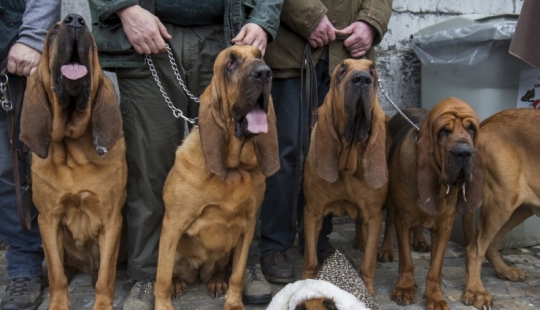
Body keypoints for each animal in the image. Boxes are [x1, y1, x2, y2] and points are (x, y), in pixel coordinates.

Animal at [304, 58, 388, 296]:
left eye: (373, 70)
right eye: (341, 70)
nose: (362, 80)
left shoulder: (374, 215)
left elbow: (368, 263)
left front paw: (368, 292)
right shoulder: (313, 212)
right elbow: (311, 258)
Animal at [384, 98, 486, 308]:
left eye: (471, 129)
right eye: (444, 131)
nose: (464, 153)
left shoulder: (444, 227)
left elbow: (435, 268)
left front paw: (435, 297)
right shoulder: (403, 219)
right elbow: (406, 260)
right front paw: (404, 288)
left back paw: (420, 241)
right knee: (389, 222)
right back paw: (386, 249)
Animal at [462, 108, 540, 308]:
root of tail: (490, 120)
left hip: (520, 208)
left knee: (491, 245)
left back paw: (504, 270)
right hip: (502, 202)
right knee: (475, 249)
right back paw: (476, 291)